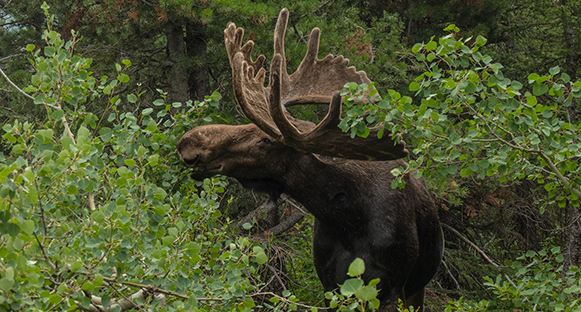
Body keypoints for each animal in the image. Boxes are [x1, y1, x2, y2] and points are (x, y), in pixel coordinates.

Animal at [177, 8, 444, 310]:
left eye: (265, 140)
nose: (188, 142)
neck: (346, 218)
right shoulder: (330, 283)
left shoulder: (389, 288)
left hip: (417, 288)